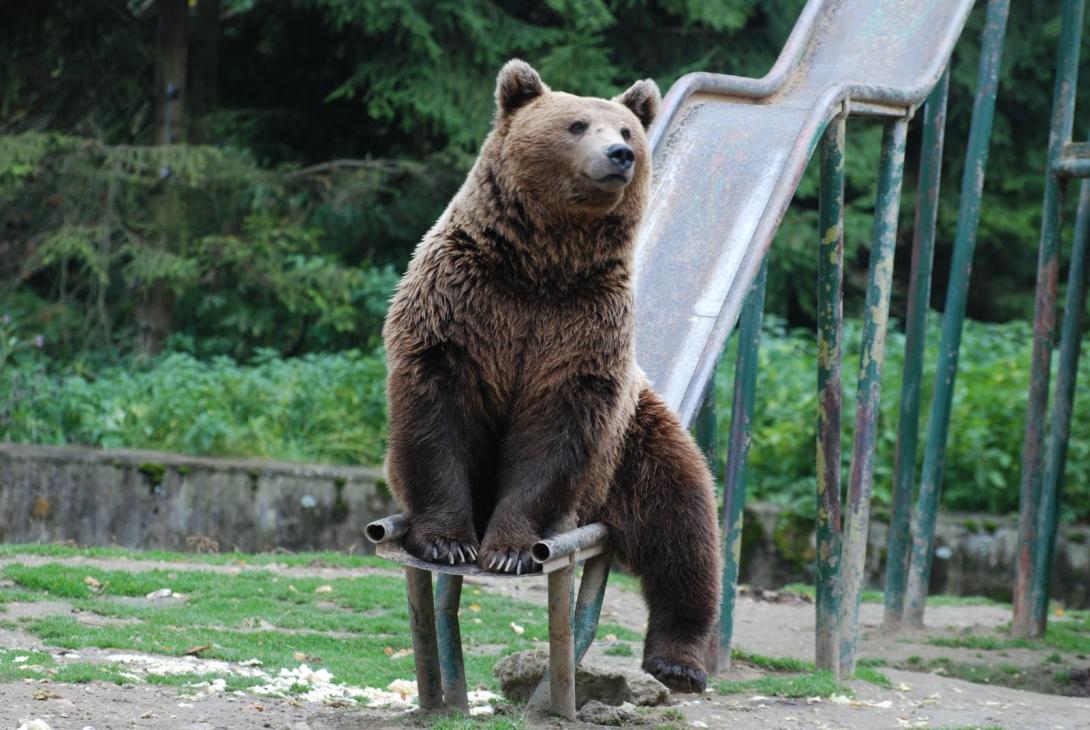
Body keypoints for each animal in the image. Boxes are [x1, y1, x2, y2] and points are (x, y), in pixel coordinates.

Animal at [383, 59, 723, 692]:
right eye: (576, 124)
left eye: (627, 129)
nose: (620, 154)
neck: (542, 266)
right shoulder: (465, 307)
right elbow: (439, 411)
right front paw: (446, 542)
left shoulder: (582, 330)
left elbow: (556, 429)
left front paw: (509, 549)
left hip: (634, 444)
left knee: (684, 523)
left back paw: (678, 661)